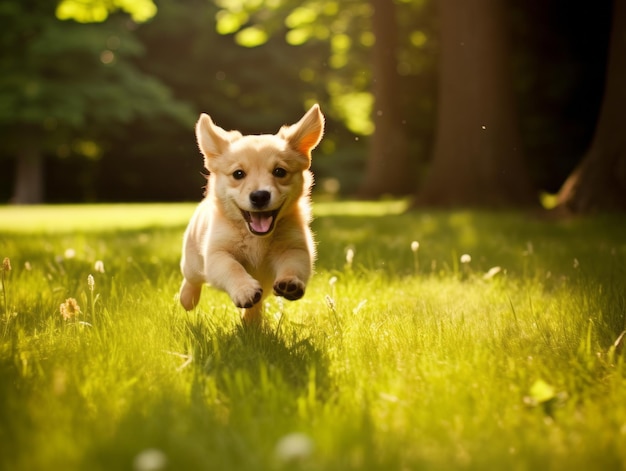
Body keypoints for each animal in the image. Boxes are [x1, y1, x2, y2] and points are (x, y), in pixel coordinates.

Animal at [176, 104, 322, 324]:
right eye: (238, 174)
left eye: (279, 172)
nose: (260, 196)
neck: (256, 237)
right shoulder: (217, 254)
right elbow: (232, 268)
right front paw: (245, 290)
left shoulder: (295, 248)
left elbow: (293, 265)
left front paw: (290, 282)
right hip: (193, 261)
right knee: (191, 279)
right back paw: (187, 299)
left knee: (259, 302)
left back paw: (251, 321)